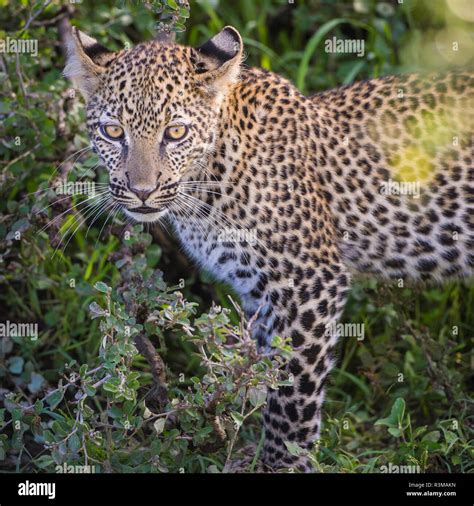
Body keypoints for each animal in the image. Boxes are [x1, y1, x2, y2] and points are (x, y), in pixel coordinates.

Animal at [64, 26, 474, 470]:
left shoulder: (309, 282)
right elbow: (259, 367)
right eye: (113, 132)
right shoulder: (257, 290)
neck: (208, 183)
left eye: (175, 133)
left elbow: (293, 387)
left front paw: (281, 460)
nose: (141, 191)